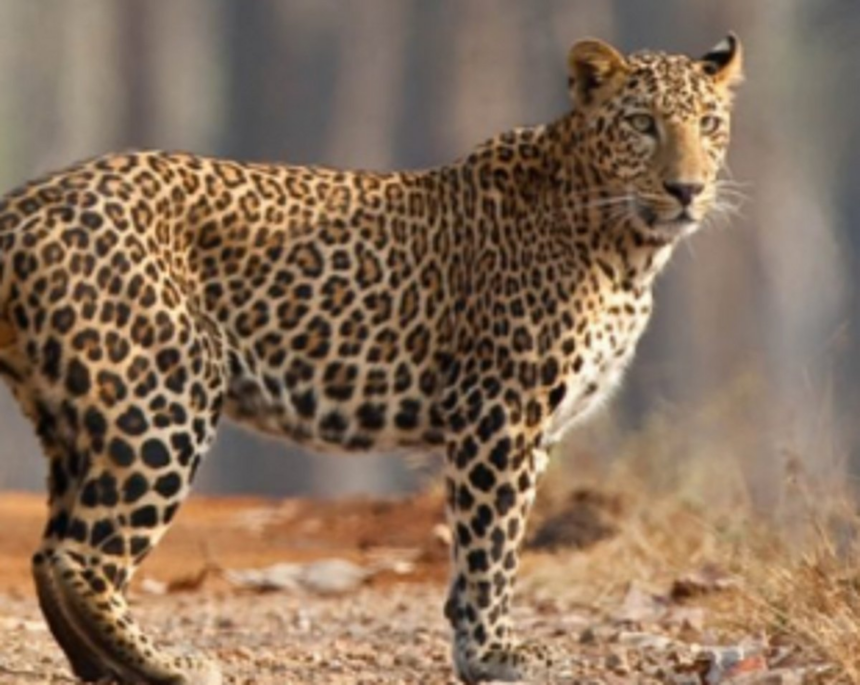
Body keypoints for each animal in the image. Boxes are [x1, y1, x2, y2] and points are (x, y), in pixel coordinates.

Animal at [0, 34, 743, 684]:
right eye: (643, 124)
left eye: (709, 123)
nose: (687, 189)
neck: (627, 249)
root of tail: (23, 204)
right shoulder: (499, 412)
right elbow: (493, 545)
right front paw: (495, 654)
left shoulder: (533, 430)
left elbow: (479, 551)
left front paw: (474, 648)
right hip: (162, 397)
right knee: (80, 558)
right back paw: (169, 664)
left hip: (78, 414)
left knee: (46, 553)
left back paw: (105, 666)